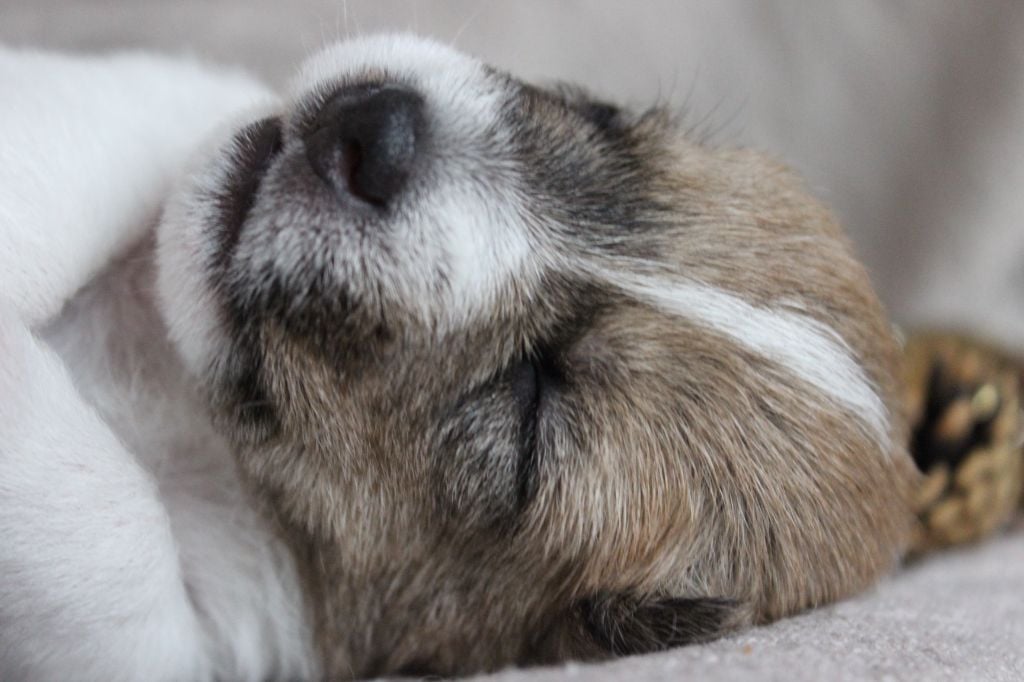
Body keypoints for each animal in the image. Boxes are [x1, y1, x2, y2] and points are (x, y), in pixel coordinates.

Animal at [0, 33, 921, 679]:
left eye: (528, 418)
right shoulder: (163, 114)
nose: (373, 131)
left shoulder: (208, 635)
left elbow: (117, 547)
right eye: (605, 119)